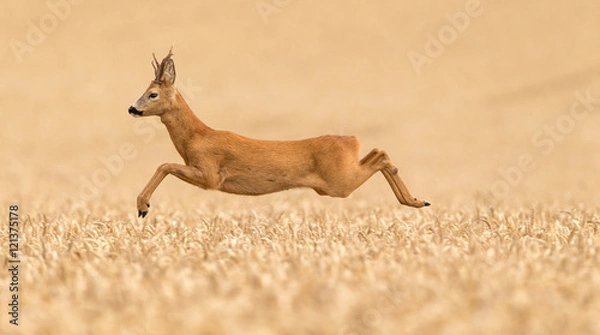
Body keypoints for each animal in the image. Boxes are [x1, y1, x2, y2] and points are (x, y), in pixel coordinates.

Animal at [126, 48, 428, 219]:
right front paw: (142, 206)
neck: (196, 138)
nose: (132, 108)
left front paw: (143, 207)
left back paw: (417, 200)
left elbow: (164, 164)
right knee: (378, 151)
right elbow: (165, 165)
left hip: (338, 183)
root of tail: (352, 140)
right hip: (335, 180)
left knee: (380, 155)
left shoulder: (210, 174)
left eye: (152, 94)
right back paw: (416, 200)